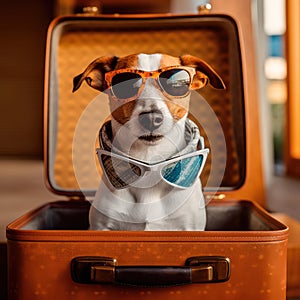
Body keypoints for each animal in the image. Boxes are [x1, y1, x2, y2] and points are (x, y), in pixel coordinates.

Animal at [72, 53, 224, 230]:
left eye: (174, 83)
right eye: (125, 84)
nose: (151, 118)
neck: (150, 161)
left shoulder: (189, 227)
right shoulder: (101, 227)